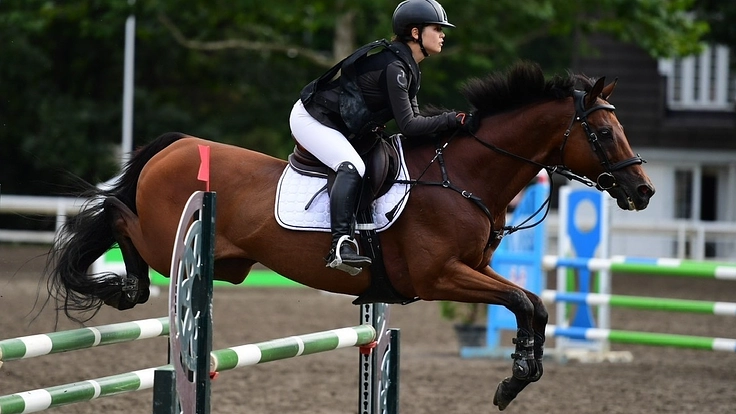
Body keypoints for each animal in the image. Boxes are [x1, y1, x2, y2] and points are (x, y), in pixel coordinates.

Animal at [46, 61, 654, 411]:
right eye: (604, 133)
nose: (643, 191)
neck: (462, 176)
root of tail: (176, 146)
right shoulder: (439, 278)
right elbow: (524, 301)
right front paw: (518, 376)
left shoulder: (473, 270)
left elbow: (532, 302)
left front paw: (518, 376)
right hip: (164, 237)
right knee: (113, 216)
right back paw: (121, 285)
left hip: (219, 260)